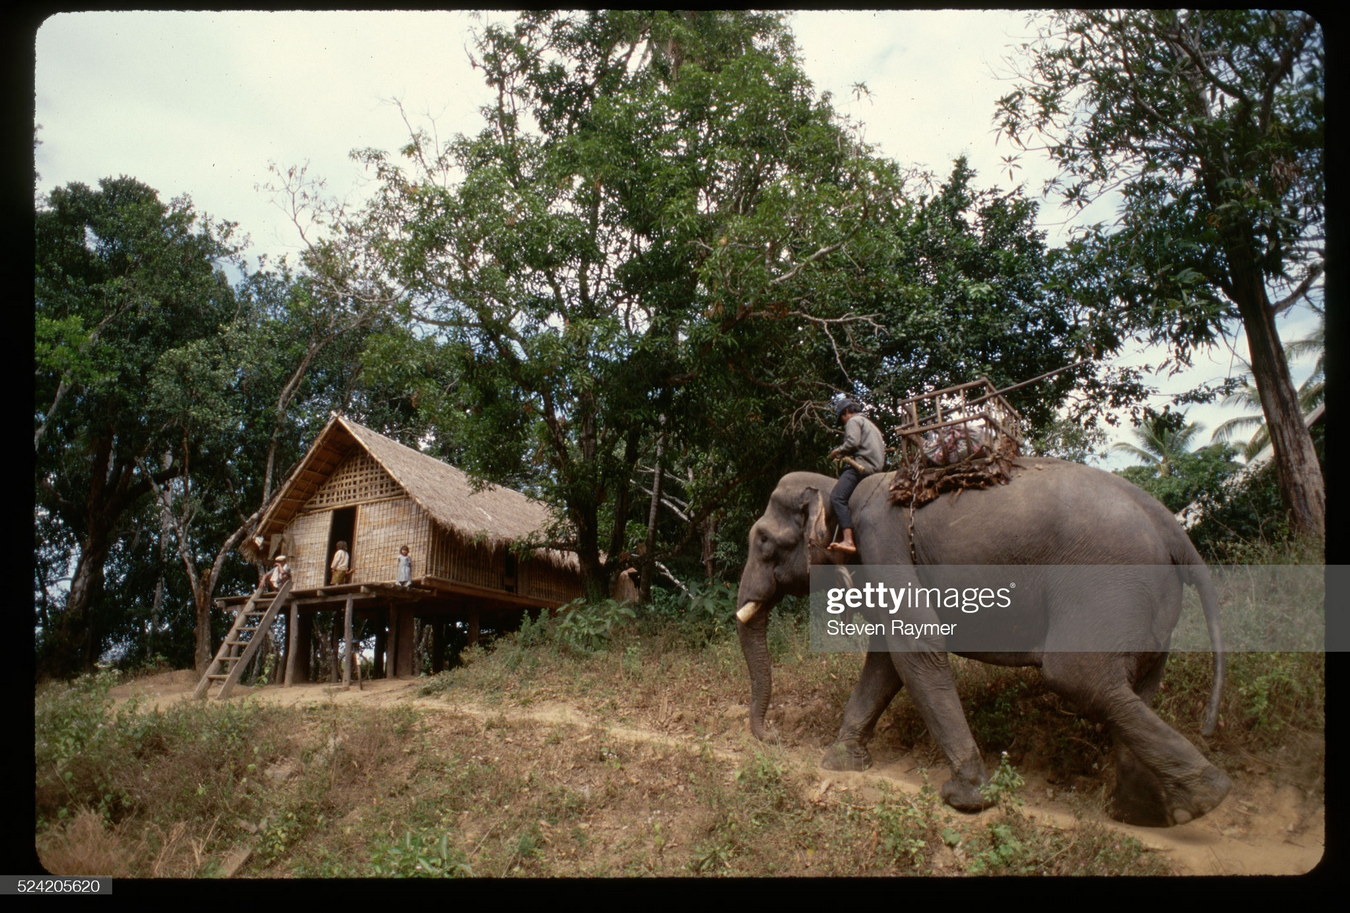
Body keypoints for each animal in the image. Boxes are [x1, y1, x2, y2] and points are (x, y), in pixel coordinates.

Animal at [739, 459, 1236, 821]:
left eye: (763, 541)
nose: (775, 738)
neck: (841, 489)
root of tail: (1173, 527)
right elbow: (886, 661)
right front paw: (840, 762)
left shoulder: (883, 542)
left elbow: (915, 648)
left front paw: (966, 799)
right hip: (1149, 607)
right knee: (1135, 687)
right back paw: (1149, 816)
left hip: (1107, 585)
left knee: (1076, 676)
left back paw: (1204, 798)